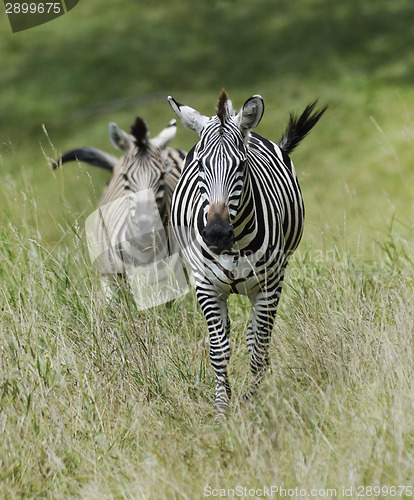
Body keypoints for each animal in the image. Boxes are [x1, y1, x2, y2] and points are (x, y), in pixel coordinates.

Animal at [168, 91, 326, 418]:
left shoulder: (268, 285)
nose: (216, 234)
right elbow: (218, 351)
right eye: (200, 165)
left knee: (256, 337)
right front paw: (221, 410)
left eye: (240, 166)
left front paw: (254, 402)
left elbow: (258, 347)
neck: (234, 243)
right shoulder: (206, 286)